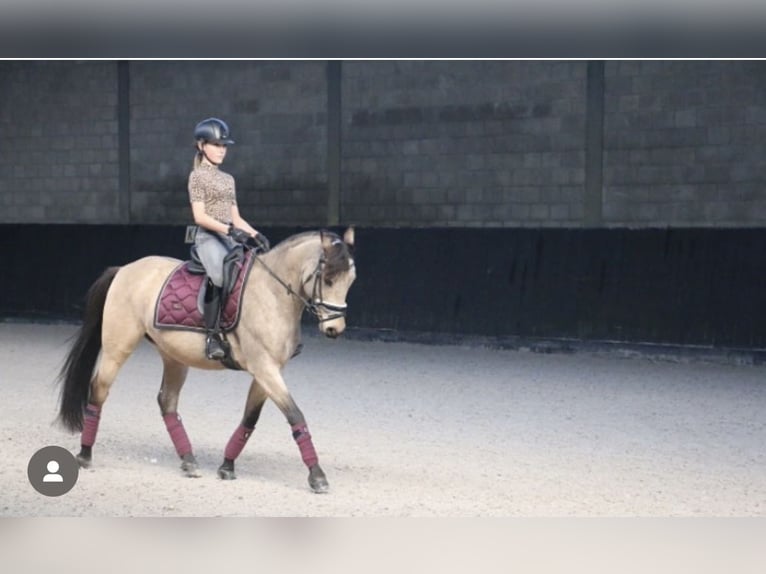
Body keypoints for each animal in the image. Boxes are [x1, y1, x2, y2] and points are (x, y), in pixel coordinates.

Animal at [56, 230, 356, 496]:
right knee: (99, 391)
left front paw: (227, 466)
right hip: (118, 348)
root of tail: (125, 270)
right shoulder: (265, 368)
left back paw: (189, 461)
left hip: (173, 356)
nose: (335, 330)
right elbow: (295, 415)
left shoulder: (267, 371)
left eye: (351, 280)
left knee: (167, 402)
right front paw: (317, 477)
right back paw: (85, 455)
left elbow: (250, 418)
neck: (272, 293)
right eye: (328, 279)